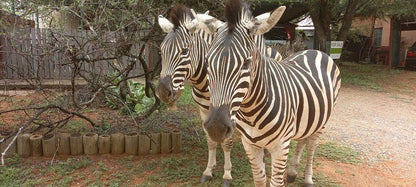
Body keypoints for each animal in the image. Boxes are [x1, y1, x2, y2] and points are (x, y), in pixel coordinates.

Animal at [154, 4, 284, 187]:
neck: (203, 83)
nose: (162, 93)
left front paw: (227, 174)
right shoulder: (204, 111)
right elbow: (210, 140)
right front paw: (209, 170)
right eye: (161, 51)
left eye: (185, 51)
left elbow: (227, 143)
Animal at [202, 0, 342, 187]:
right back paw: (292, 172)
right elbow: (259, 179)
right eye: (207, 61)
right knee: (302, 140)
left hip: (323, 121)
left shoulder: (280, 147)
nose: (216, 129)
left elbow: (275, 182)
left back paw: (308, 178)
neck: (251, 112)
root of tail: (315, 51)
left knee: (311, 146)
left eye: (246, 63)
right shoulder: (250, 145)